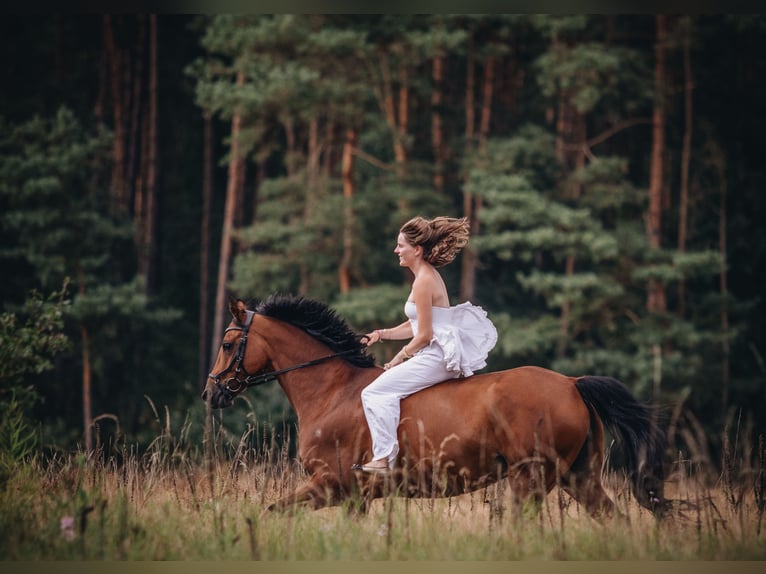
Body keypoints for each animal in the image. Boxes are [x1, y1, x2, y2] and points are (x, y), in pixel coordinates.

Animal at [202, 296, 664, 516]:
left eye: (226, 344)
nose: (211, 394)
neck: (331, 390)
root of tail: (571, 383)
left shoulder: (330, 485)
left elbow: (271, 512)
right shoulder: (354, 498)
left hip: (530, 477)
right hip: (578, 476)